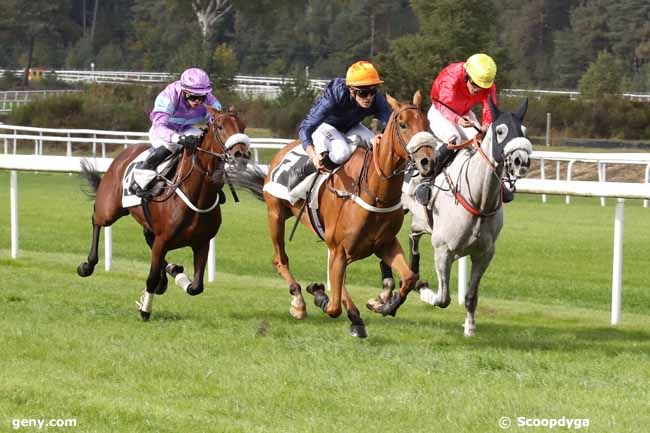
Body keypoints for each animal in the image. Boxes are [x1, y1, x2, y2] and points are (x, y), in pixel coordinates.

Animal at [75, 106, 248, 318]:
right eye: (221, 126)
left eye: (242, 126)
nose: (241, 154)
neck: (196, 193)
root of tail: (124, 154)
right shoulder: (164, 239)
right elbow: (150, 277)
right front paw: (145, 309)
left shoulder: (202, 242)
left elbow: (196, 287)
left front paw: (177, 275)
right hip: (109, 209)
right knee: (97, 221)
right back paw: (87, 265)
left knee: (148, 238)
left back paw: (169, 273)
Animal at [228, 92, 436, 338]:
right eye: (403, 124)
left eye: (427, 124)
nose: (427, 161)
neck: (373, 192)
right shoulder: (339, 248)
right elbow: (334, 306)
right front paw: (321, 296)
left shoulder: (384, 244)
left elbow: (409, 277)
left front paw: (385, 305)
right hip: (275, 213)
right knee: (280, 259)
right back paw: (299, 301)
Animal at [370, 98, 532, 338]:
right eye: (500, 131)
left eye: (524, 130)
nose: (522, 161)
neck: (478, 198)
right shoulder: (443, 250)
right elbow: (442, 298)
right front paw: (423, 289)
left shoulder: (484, 254)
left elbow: (470, 296)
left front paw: (469, 328)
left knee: (412, 241)